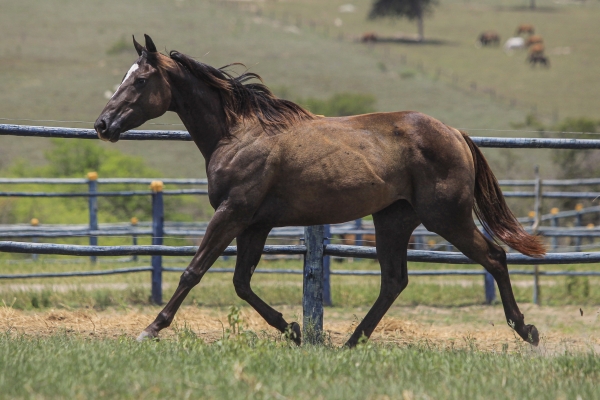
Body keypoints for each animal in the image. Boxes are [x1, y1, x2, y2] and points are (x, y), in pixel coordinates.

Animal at [94, 35, 544, 346]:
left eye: (142, 79)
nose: (102, 125)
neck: (238, 132)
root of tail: (454, 132)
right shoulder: (255, 225)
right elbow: (241, 283)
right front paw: (293, 329)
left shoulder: (232, 213)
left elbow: (194, 271)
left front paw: (150, 329)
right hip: (394, 219)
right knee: (394, 281)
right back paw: (350, 342)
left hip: (446, 217)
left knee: (495, 257)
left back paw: (527, 331)